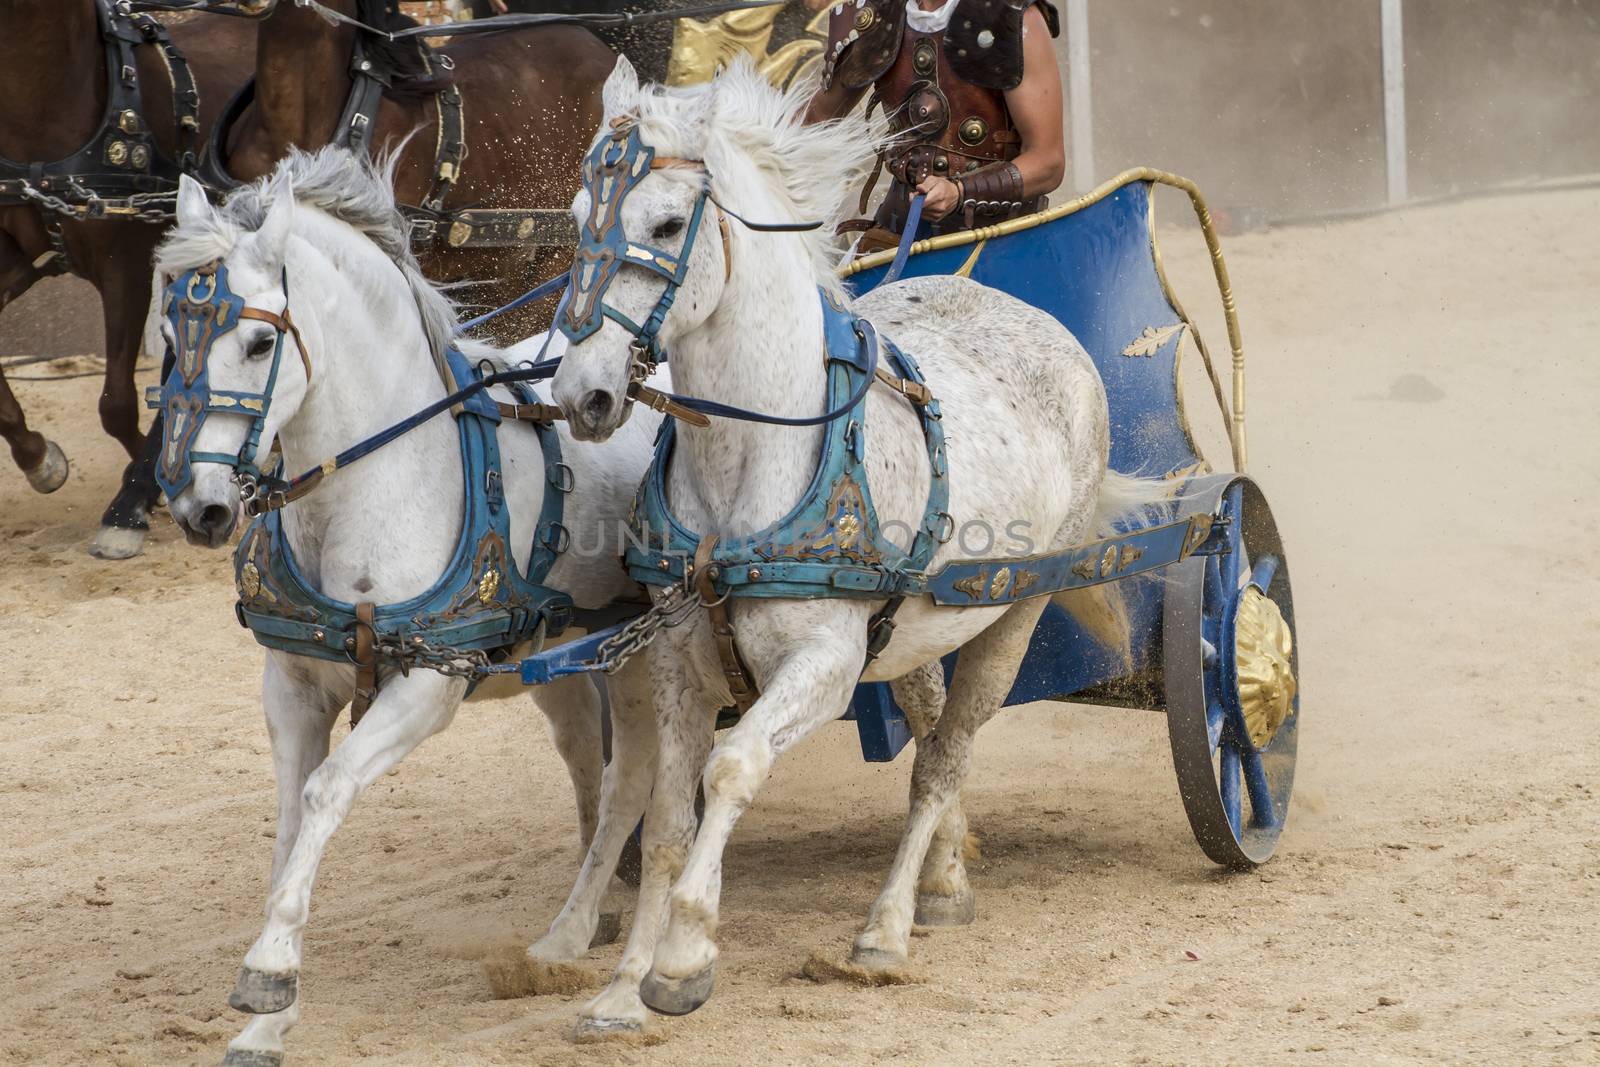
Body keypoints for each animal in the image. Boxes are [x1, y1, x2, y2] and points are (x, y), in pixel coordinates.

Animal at [151, 151, 662, 1067]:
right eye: (172, 338)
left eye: (260, 340)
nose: (198, 506)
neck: (374, 480)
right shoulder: (292, 686)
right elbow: (289, 822)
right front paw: (266, 1018)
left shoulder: (429, 682)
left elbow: (325, 793)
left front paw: (267, 974)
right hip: (571, 660)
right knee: (590, 762)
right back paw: (588, 914)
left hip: (641, 648)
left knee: (631, 772)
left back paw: (580, 933)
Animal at [547, 58, 1152, 1036]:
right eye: (573, 221)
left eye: (669, 225)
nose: (583, 393)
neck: (750, 462)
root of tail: (1045, 326)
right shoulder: (678, 661)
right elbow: (670, 819)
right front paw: (621, 987)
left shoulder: (823, 666)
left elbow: (732, 768)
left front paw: (683, 958)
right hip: (918, 628)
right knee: (929, 720)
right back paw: (946, 877)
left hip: (1013, 611)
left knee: (946, 753)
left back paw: (887, 926)